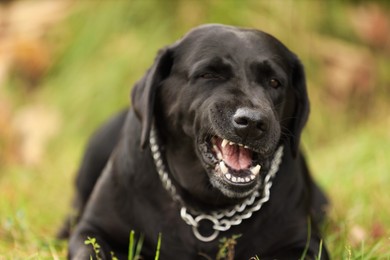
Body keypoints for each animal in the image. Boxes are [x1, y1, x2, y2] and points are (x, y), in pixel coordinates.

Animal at [61, 23, 330, 258]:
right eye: (208, 74)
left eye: (274, 82)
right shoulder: (93, 230)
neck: (208, 210)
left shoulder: (304, 244)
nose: (253, 122)